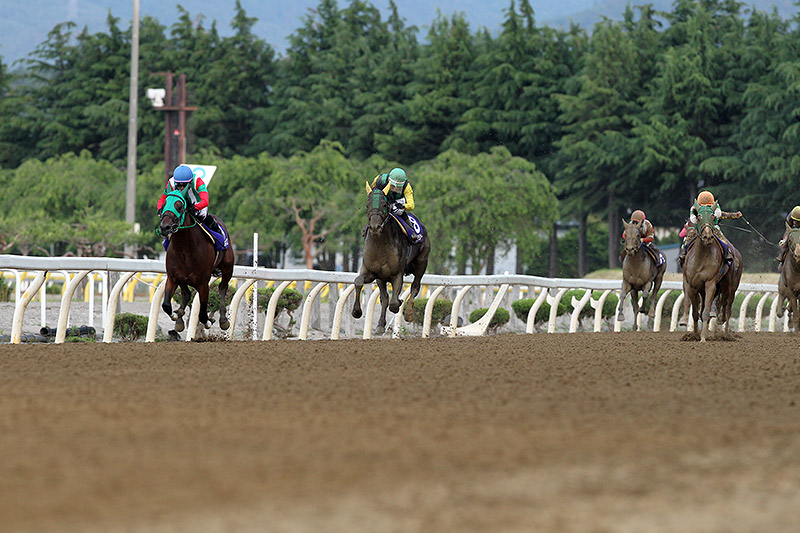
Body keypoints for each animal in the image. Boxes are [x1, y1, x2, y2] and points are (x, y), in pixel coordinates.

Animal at [155, 189, 231, 334]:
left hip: (228, 268)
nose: (165, 227)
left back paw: (223, 320)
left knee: (222, 288)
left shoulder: (203, 283)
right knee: (186, 293)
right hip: (183, 278)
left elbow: (202, 314)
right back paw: (179, 318)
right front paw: (176, 315)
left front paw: (208, 321)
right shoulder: (173, 277)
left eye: (179, 206)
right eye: (164, 204)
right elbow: (166, 305)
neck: (185, 248)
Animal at [354, 183, 432, 332]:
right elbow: (358, 282)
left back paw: (408, 313)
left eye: (385, 205)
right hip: (381, 278)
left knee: (415, 287)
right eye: (367, 205)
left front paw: (400, 303)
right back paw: (380, 325)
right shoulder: (372, 272)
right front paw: (356, 312)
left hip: (422, 262)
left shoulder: (397, 274)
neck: (380, 244)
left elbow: (395, 303)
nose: (375, 227)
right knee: (384, 298)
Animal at [680, 204, 744, 340]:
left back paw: (725, 332)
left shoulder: (710, 283)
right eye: (698, 217)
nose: (707, 236)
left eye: (713, 216)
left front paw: (703, 337)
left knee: (727, 306)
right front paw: (694, 334)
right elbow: (694, 311)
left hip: (730, 285)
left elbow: (706, 312)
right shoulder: (690, 283)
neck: (700, 259)